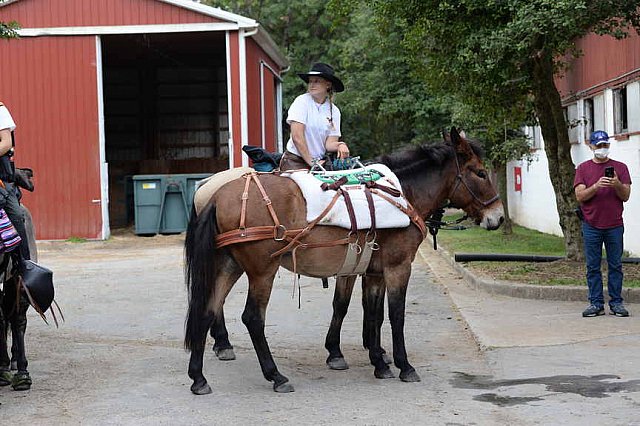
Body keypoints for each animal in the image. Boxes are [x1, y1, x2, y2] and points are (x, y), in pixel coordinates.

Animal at [185, 128, 504, 394]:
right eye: (480, 172)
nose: (498, 217)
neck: (402, 193)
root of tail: (216, 195)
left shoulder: (372, 272)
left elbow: (372, 313)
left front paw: (378, 361)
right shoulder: (397, 267)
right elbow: (395, 315)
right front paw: (403, 365)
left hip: (229, 266)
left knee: (208, 308)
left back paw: (199, 377)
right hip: (262, 271)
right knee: (252, 317)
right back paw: (275, 375)